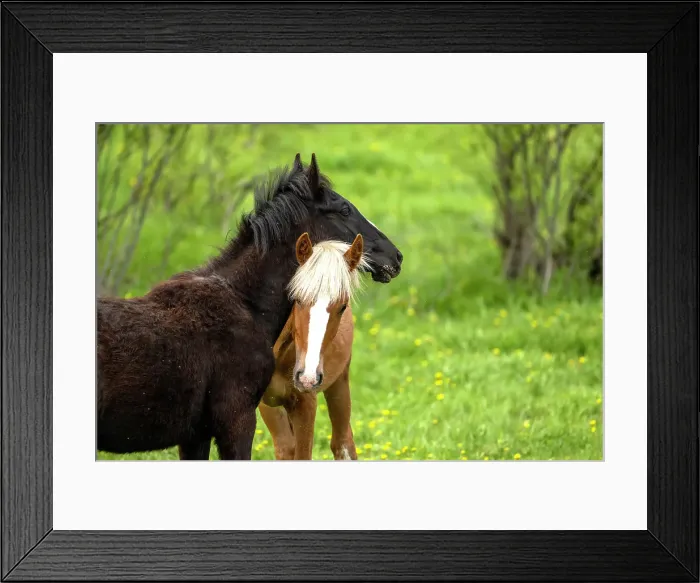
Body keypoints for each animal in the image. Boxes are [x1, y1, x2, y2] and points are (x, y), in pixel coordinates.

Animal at [258, 232, 367, 460]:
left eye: (342, 306)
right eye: (296, 299)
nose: (307, 377)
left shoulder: (305, 404)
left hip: (339, 384)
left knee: (342, 443)